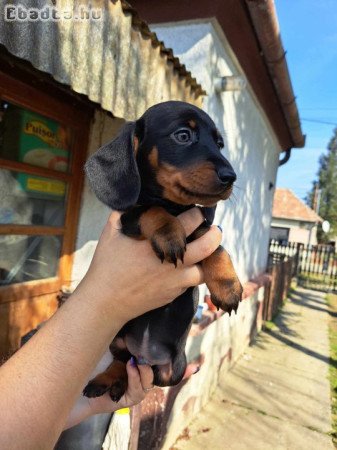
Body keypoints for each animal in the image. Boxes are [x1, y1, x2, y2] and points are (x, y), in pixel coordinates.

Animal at [83, 101, 242, 400]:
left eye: (220, 144)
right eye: (183, 135)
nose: (231, 177)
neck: (175, 207)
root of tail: (147, 356)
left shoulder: (202, 230)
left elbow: (218, 249)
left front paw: (228, 286)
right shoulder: (129, 219)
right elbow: (151, 210)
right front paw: (169, 233)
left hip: (173, 371)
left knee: (133, 367)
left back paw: (117, 385)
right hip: (117, 338)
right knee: (122, 361)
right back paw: (106, 381)